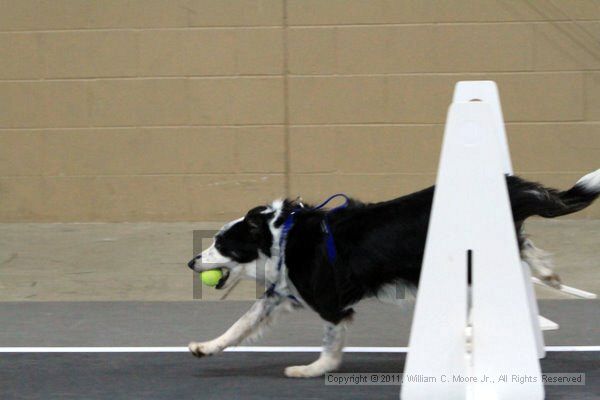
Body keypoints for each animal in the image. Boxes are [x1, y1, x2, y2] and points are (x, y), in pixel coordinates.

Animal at [188, 170, 600, 378]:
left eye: (221, 244)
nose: (191, 262)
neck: (282, 237)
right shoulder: (280, 295)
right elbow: (240, 325)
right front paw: (205, 347)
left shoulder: (331, 305)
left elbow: (330, 344)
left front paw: (313, 369)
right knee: (525, 246)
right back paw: (549, 274)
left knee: (521, 252)